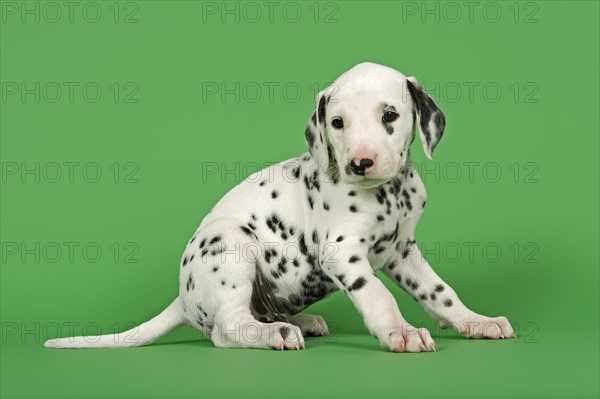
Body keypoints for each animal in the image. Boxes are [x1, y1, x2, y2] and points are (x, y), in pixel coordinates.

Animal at [48, 62, 516, 354]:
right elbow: (378, 295)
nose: (359, 163)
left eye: (389, 115)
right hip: (230, 244)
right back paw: (276, 334)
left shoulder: (403, 251)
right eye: (337, 123)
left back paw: (298, 323)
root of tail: (182, 299)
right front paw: (399, 332)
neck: (389, 193)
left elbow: (442, 293)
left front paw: (476, 321)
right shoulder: (342, 252)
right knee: (227, 328)